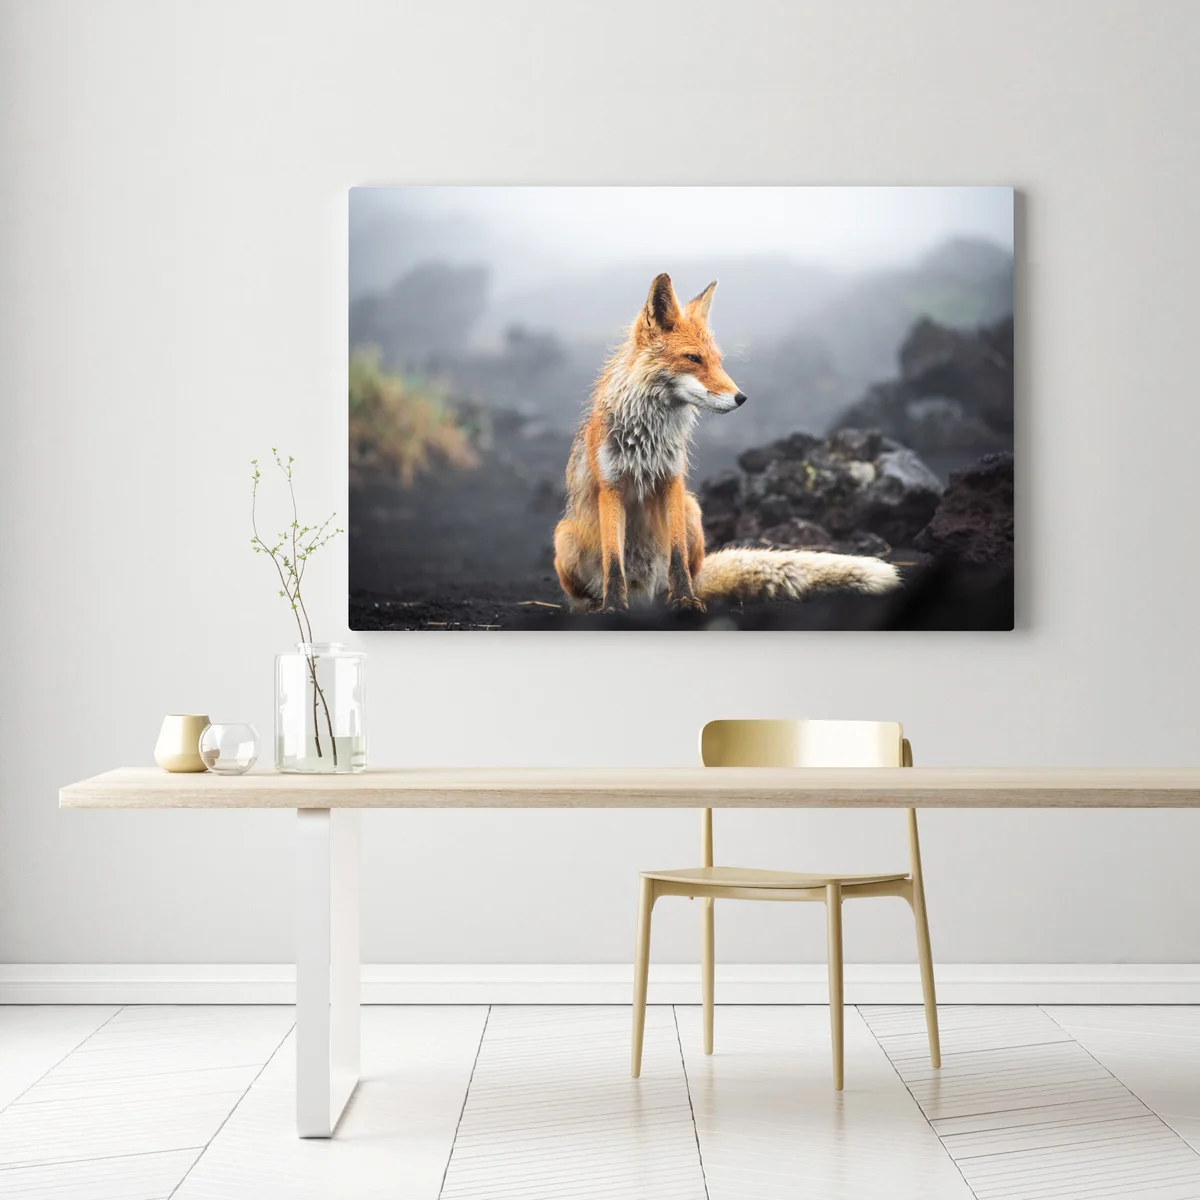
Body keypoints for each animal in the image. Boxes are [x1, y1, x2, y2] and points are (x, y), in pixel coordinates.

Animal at [553, 273, 900, 613]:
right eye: (693, 358)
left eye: (718, 360)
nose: (741, 398)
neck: (647, 439)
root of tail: (644, 596)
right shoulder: (611, 487)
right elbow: (613, 562)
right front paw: (613, 607)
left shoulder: (671, 480)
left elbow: (677, 556)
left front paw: (685, 601)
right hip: (564, 536)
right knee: (583, 593)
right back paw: (594, 606)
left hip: (692, 510)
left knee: (686, 573)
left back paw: (674, 597)